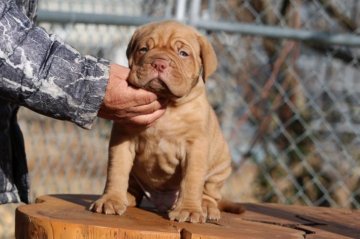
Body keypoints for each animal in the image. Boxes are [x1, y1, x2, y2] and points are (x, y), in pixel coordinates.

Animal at [89, 20, 238, 222]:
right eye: (143, 49)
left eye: (183, 53)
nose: (159, 63)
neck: (168, 106)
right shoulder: (122, 140)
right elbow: (117, 171)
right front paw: (111, 200)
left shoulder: (195, 147)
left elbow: (192, 180)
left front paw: (189, 210)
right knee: (132, 183)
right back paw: (127, 196)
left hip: (221, 165)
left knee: (210, 191)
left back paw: (206, 207)